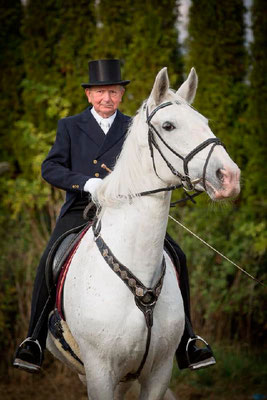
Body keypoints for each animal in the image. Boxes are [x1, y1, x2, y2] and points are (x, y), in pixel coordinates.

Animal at [47, 67, 242, 398]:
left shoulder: (159, 373)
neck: (140, 277)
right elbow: (53, 166)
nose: (229, 177)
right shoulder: (99, 372)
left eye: (205, 122)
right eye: (169, 125)